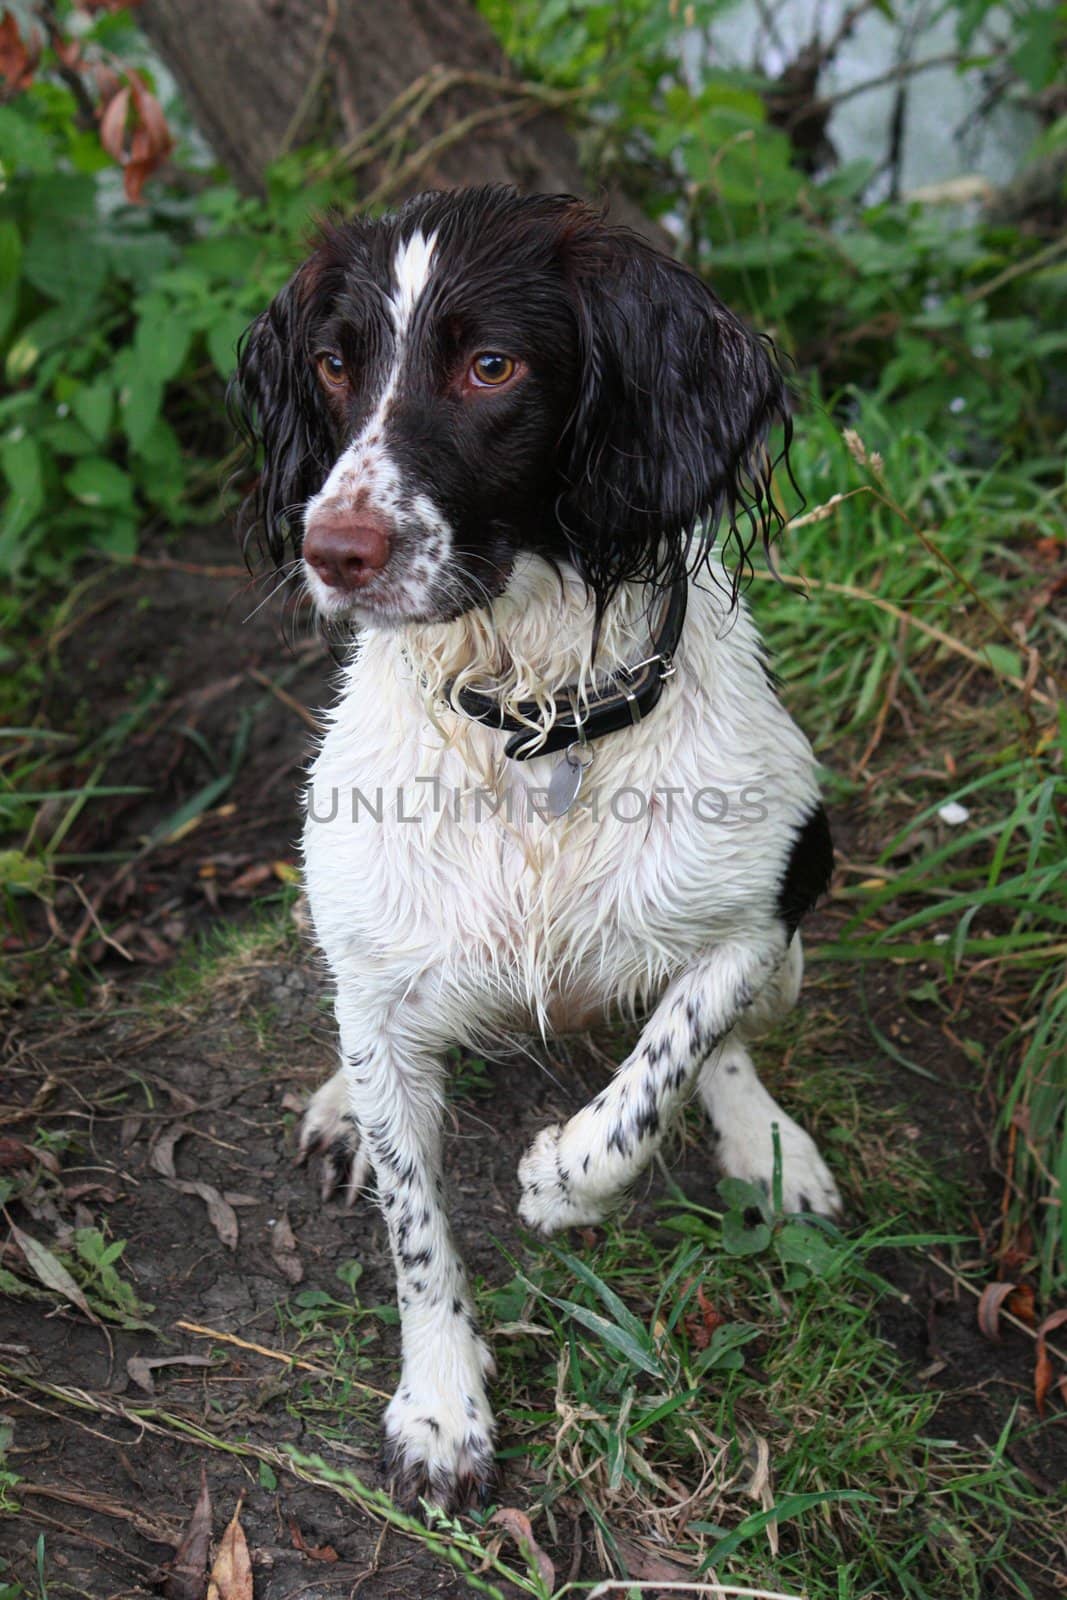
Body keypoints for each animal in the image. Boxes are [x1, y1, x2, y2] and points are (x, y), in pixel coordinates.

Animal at [233, 184, 844, 1510]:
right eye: (334, 364)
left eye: (491, 367)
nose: (331, 549)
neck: (533, 728)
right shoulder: (378, 958)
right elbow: (416, 1228)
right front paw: (440, 1405)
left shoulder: (760, 906)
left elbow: (666, 1059)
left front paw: (560, 1181)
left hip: (793, 933)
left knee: (723, 1034)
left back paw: (764, 1142)